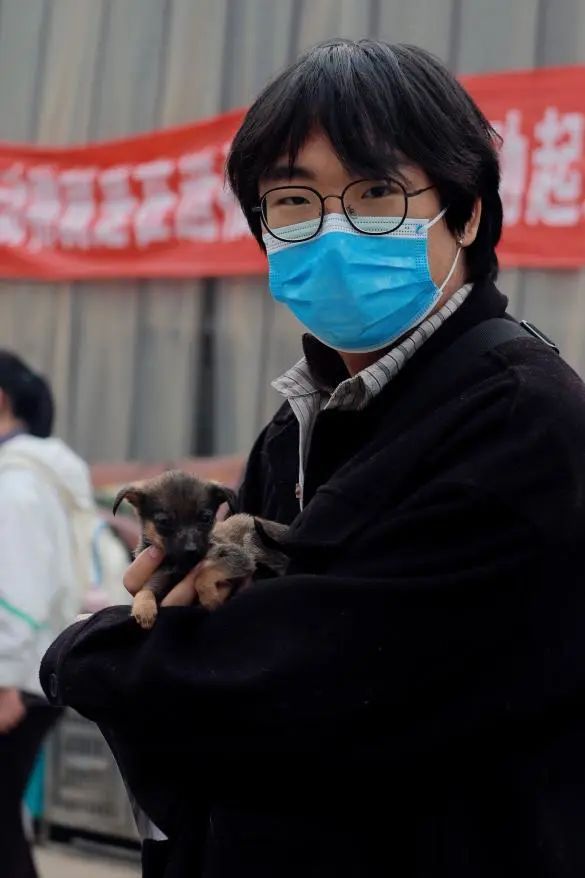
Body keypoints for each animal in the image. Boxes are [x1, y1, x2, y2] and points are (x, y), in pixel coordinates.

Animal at [113, 470, 289, 628]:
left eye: (206, 518)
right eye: (164, 521)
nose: (191, 549)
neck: (182, 564)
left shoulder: (238, 558)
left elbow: (203, 575)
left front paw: (210, 598)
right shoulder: (158, 578)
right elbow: (144, 591)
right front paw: (144, 609)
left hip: (253, 537)